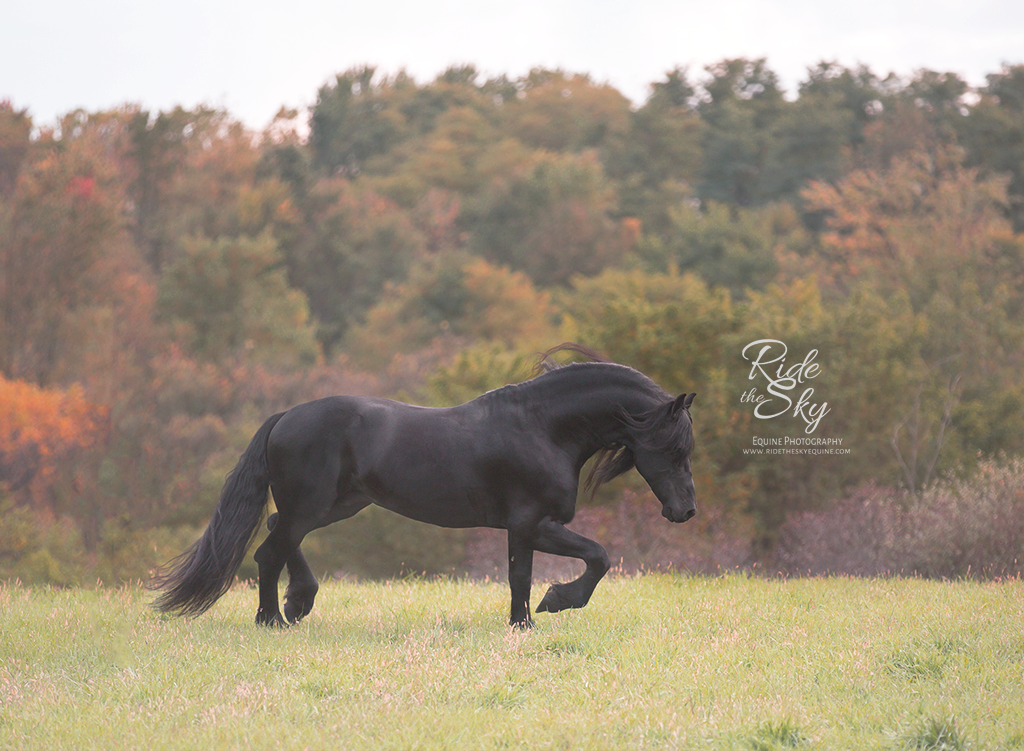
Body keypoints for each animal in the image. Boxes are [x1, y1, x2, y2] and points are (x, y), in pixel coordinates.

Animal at [151, 350, 696, 627]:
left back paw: (294, 605)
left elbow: (538, 572)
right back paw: (277, 616)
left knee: (276, 533)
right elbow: (580, 561)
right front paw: (548, 607)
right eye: (675, 447)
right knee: (270, 550)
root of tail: (286, 416)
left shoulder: (530, 527)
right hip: (313, 506)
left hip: (336, 505)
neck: (543, 429)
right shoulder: (531, 523)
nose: (685, 511)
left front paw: (530, 617)